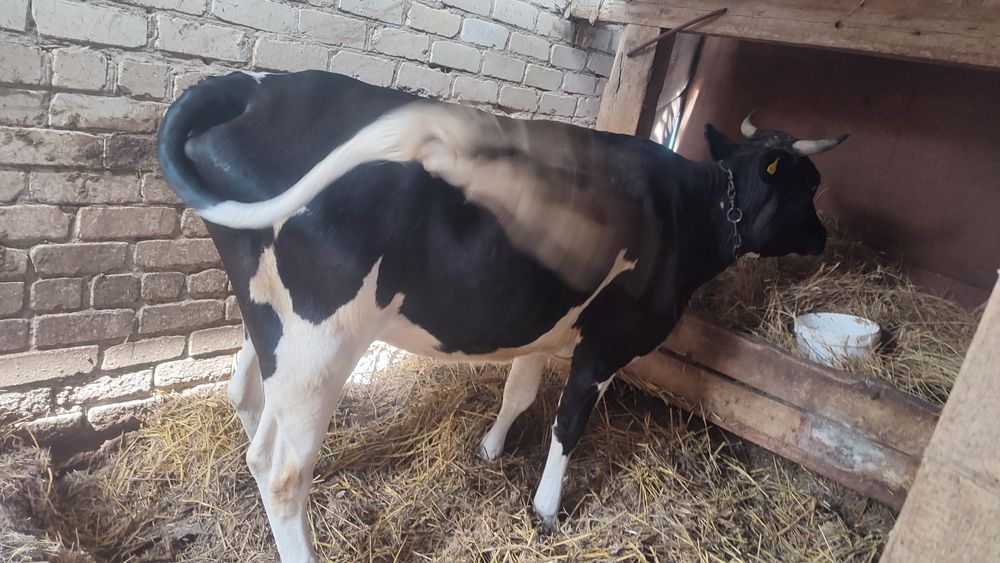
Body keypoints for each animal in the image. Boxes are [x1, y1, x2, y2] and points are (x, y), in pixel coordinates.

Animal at [157, 69, 846, 562]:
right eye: (809, 185)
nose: (825, 237)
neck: (687, 213)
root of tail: (254, 88)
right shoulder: (608, 343)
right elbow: (568, 424)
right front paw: (546, 510)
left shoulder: (545, 328)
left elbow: (520, 392)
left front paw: (490, 449)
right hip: (320, 336)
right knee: (280, 469)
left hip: (270, 318)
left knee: (246, 397)